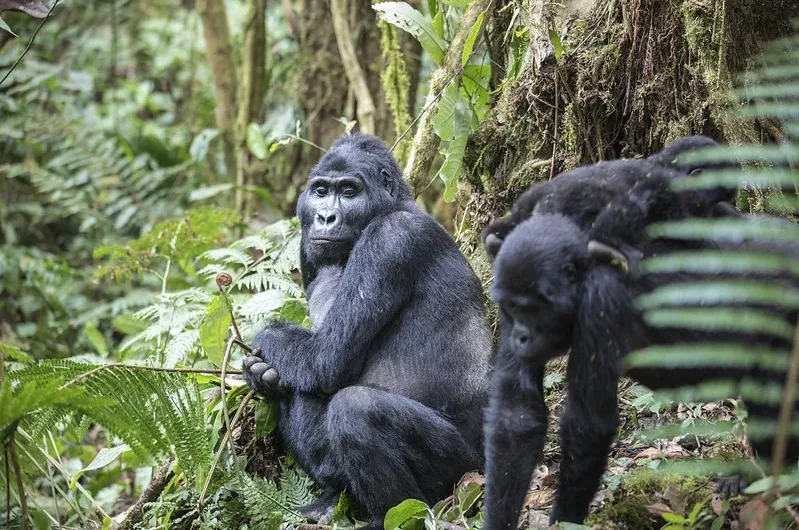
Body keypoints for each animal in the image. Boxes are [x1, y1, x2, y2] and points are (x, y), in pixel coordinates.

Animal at [242, 133, 494, 528]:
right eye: (320, 191)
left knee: (356, 409)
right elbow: (313, 363)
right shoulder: (306, 248)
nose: (325, 217)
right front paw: (260, 375)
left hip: (463, 470)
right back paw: (331, 497)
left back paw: (393, 515)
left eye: (349, 191)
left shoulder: (391, 240)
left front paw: (262, 344)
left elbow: (324, 358)